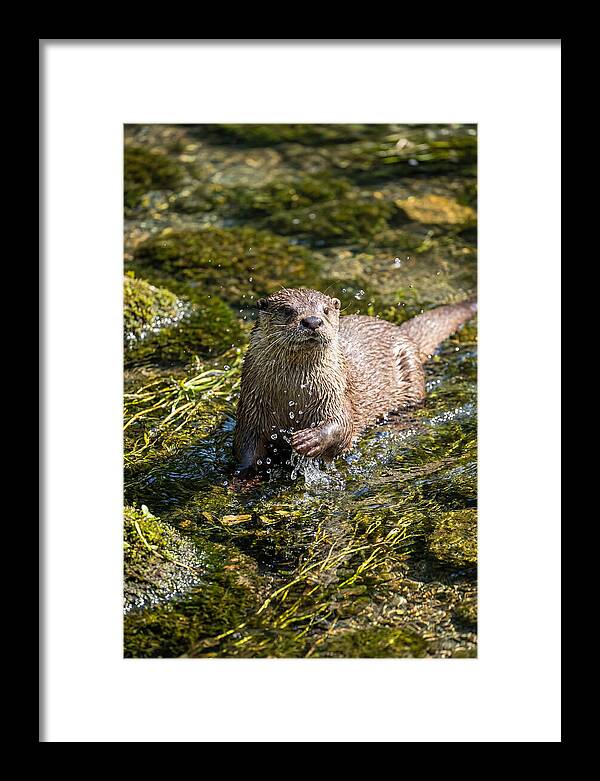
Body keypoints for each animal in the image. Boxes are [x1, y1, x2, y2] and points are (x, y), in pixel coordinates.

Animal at [233, 288, 476, 473]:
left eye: (325, 310)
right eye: (287, 310)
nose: (312, 321)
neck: (294, 395)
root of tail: (402, 332)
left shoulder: (336, 393)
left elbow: (342, 425)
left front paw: (309, 440)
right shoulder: (251, 408)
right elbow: (245, 449)